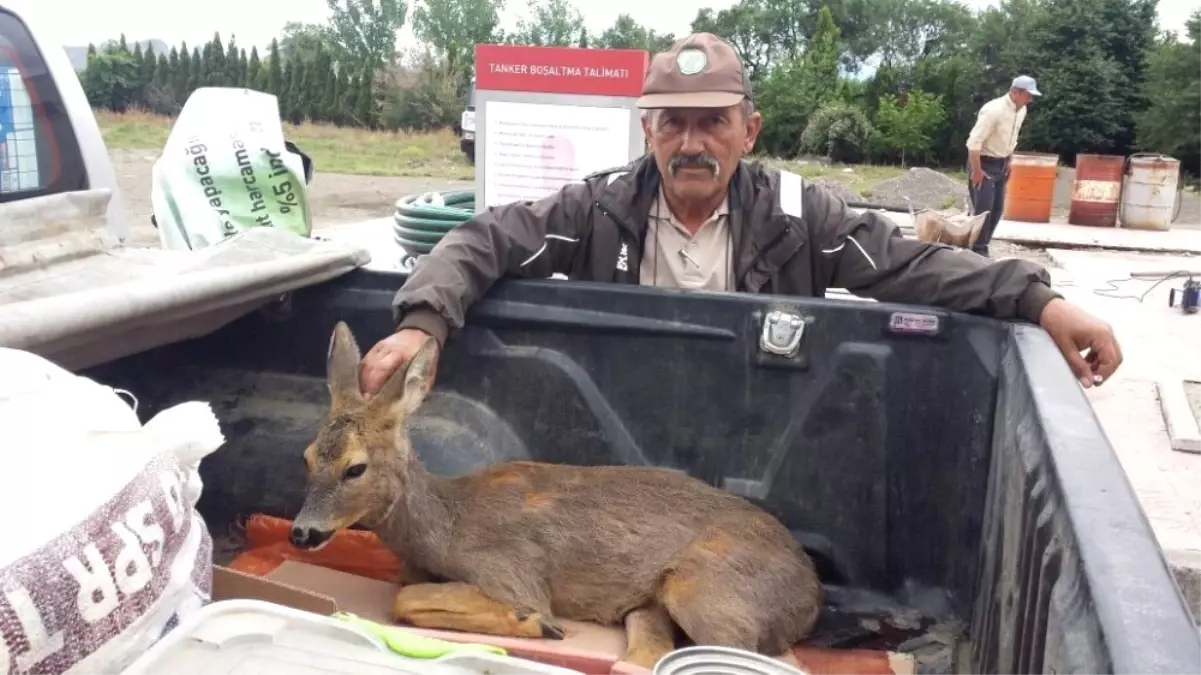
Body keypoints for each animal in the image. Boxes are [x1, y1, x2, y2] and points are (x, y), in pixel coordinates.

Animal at [290, 321, 826, 667]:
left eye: (355, 467)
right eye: (308, 456)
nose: (301, 533)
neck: (446, 527)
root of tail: (813, 593)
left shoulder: (511, 572)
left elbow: (406, 600)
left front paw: (535, 625)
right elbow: (406, 591)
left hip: (707, 589)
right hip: (652, 605)